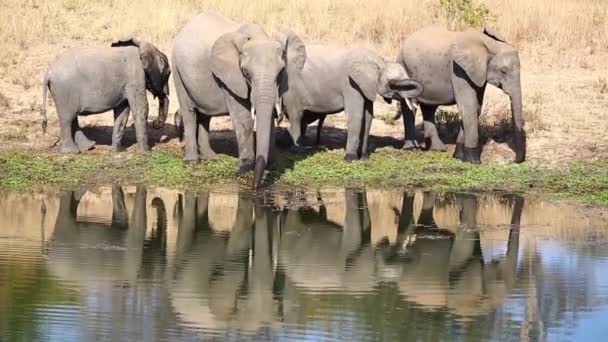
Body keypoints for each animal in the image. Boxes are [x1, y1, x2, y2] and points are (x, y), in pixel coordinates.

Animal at [41, 36, 171, 153]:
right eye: (168, 73)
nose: (155, 124)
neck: (141, 46)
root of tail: (48, 72)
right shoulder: (135, 77)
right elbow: (141, 108)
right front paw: (146, 152)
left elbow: (122, 111)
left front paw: (118, 151)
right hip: (64, 90)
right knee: (67, 118)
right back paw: (72, 151)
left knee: (72, 117)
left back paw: (88, 147)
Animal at [172, 10, 306, 188]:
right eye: (246, 73)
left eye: (280, 72)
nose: (255, 188)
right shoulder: (231, 77)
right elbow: (244, 118)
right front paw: (245, 169)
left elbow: (268, 118)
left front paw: (268, 164)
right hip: (176, 68)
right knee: (189, 112)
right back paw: (192, 162)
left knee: (205, 115)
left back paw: (212, 158)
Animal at [280, 38, 422, 161]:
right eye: (392, 84)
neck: (378, 62)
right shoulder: (350, 84)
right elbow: (356, 115)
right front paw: (350, 159)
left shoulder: (366, 86)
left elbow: (368, 117)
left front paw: (364, 158)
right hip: (292, 90)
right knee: (296, 116)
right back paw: (297, 150)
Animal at [396, 25, 524, 163]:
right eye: (503, 71)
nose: (513, 160)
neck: (489, 44)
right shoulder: (458, 70)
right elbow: (469, 107)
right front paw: (474, 161)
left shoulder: (477, 73)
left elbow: (475, 108)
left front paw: (459, 157)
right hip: (403, 67)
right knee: (410, 105)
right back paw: (411, 148)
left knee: (429, 108)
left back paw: (437, 149)